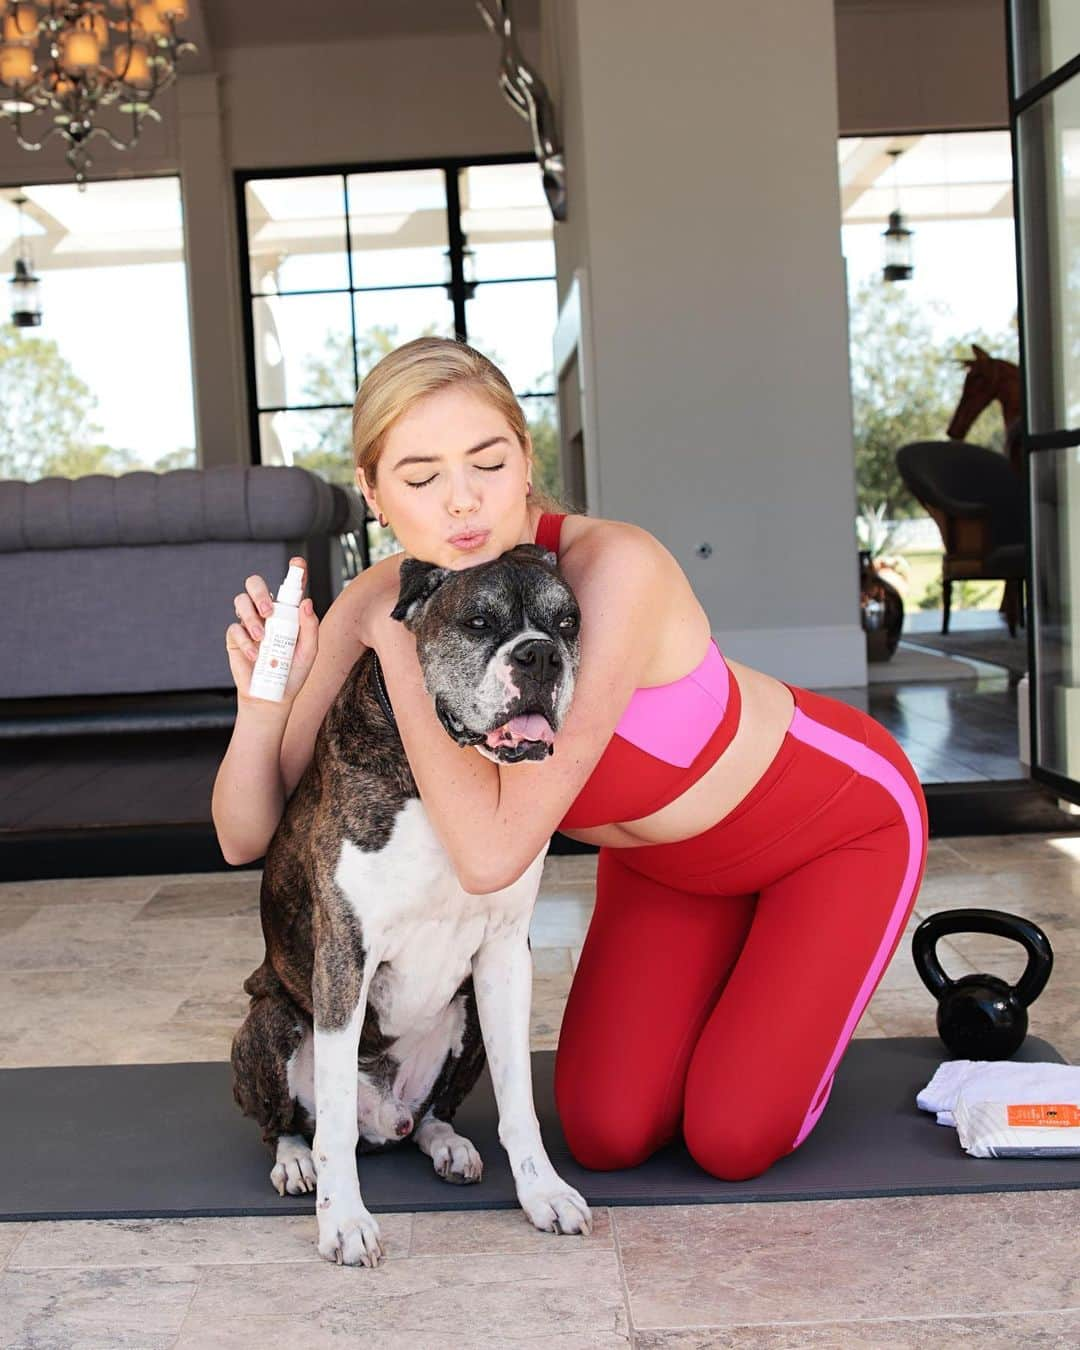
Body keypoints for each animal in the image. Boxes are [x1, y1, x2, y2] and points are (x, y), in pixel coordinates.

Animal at [226, 537, 591, 1263]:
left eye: (567, 624)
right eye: (478, 623)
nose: (541, 656)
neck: (436, 774)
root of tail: (385, 1120)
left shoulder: (506, 956)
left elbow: (519, 1100)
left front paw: (543, 1193)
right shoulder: (345, 957)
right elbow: (333, 1122)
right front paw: (343, 1222)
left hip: (468, 1013)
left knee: (428, 1117)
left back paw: (446, 1144)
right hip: (270, 1023)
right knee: (292, 1122)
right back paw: (296, 1161)